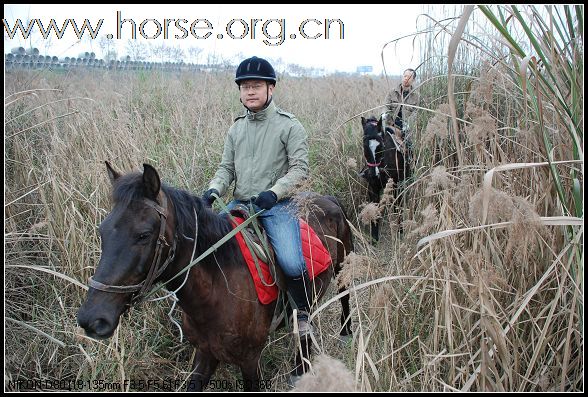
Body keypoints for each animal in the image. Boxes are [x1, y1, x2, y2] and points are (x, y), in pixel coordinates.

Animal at [78, 162, 354, 392]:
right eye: (102, 231)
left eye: (143, 234)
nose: (91, 319)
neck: (215, 292)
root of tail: (327, 199)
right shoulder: (205, 354)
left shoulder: (250, 360)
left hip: (344, 266)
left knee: (342, 298)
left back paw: (344, 334)